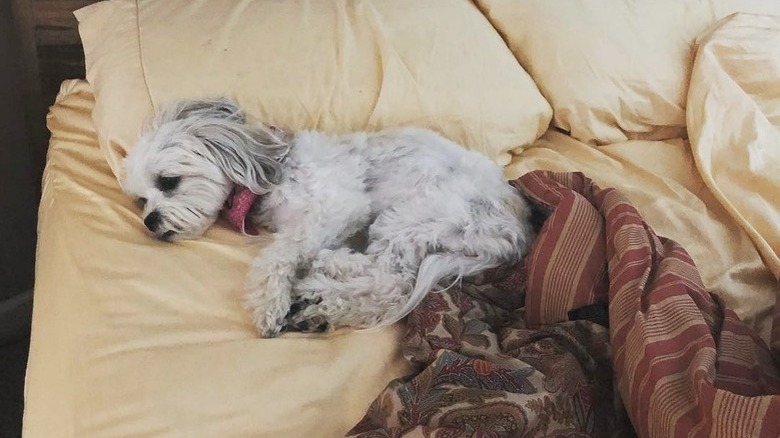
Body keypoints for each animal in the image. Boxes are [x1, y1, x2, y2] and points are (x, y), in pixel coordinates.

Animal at [122, 99, 536, 338]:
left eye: (169, 182)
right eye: (141, 199)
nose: (150, 222)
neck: (269, 170)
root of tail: (516, 231)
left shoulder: (338, 208)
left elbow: (278, 254)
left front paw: (269, 304)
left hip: (414, 214)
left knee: (390, 281)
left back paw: (321, 279)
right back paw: (319, 303)